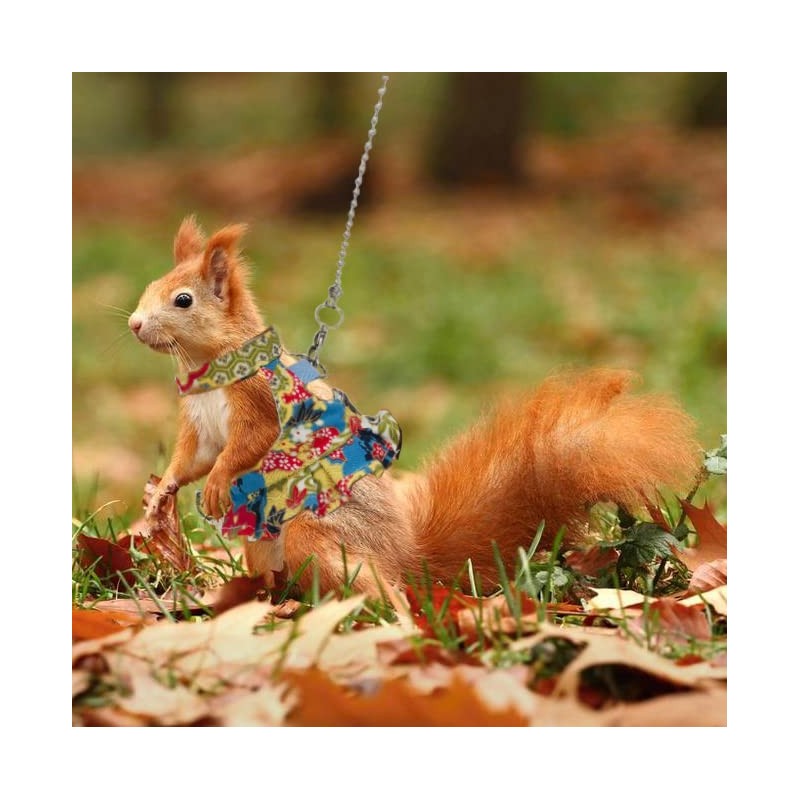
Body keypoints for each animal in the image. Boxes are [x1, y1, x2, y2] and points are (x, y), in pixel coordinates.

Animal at [129, 216, 701, 596]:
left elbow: (244, 449)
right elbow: (192, 458)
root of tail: (408, 557)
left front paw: (218, 484)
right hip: (264, 547)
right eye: (147, 287)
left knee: (381, 589)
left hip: (316, 534)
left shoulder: (259, 408)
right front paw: (165, 494)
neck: (212, 372)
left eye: (183, 300)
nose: (134, 324)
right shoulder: (199, 426)